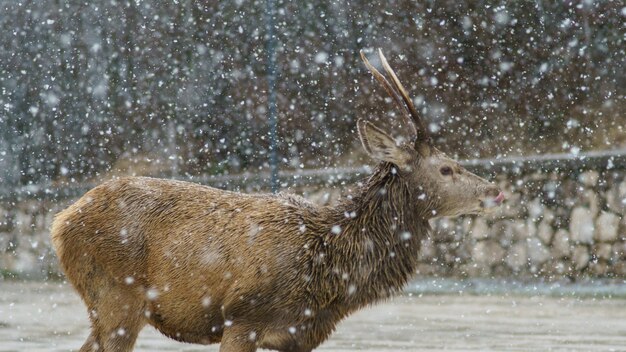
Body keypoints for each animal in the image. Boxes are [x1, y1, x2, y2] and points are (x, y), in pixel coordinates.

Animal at [51, 50, 504, 352]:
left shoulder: (299, 336)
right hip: (116, 296)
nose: (495, 191)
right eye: (446, 169)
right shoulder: (242, 318)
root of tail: (61, 221)